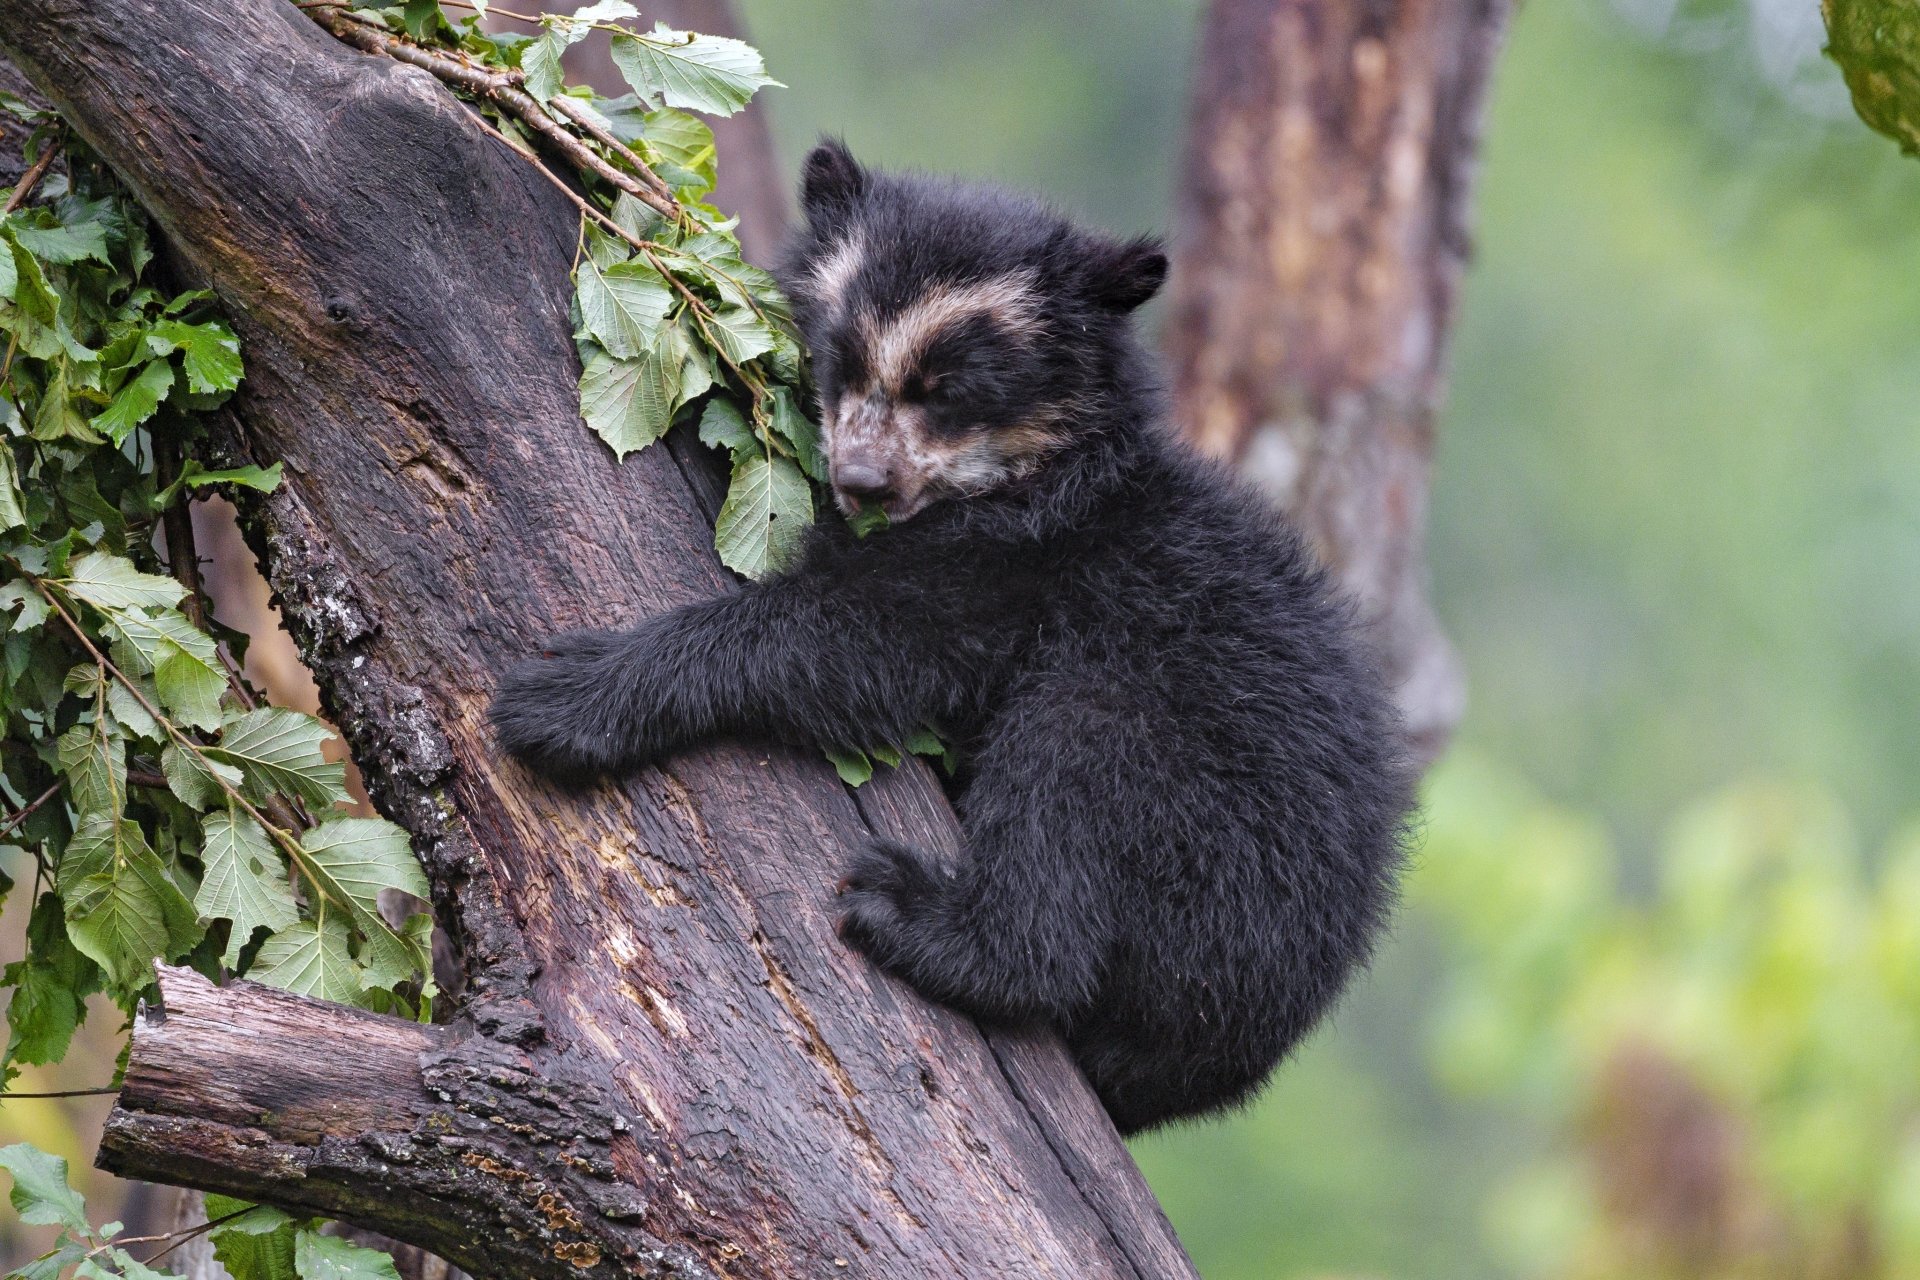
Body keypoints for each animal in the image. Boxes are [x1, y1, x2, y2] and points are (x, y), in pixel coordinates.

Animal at [489, 141, 1414, 1135]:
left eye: (950, 391)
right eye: (842, 359)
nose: (862, 480)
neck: (1019, 474)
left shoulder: (1018, 563)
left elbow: (852, 640)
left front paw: (568, 692)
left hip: (1200, 818)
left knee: (1071, 779)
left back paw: (917, 914)